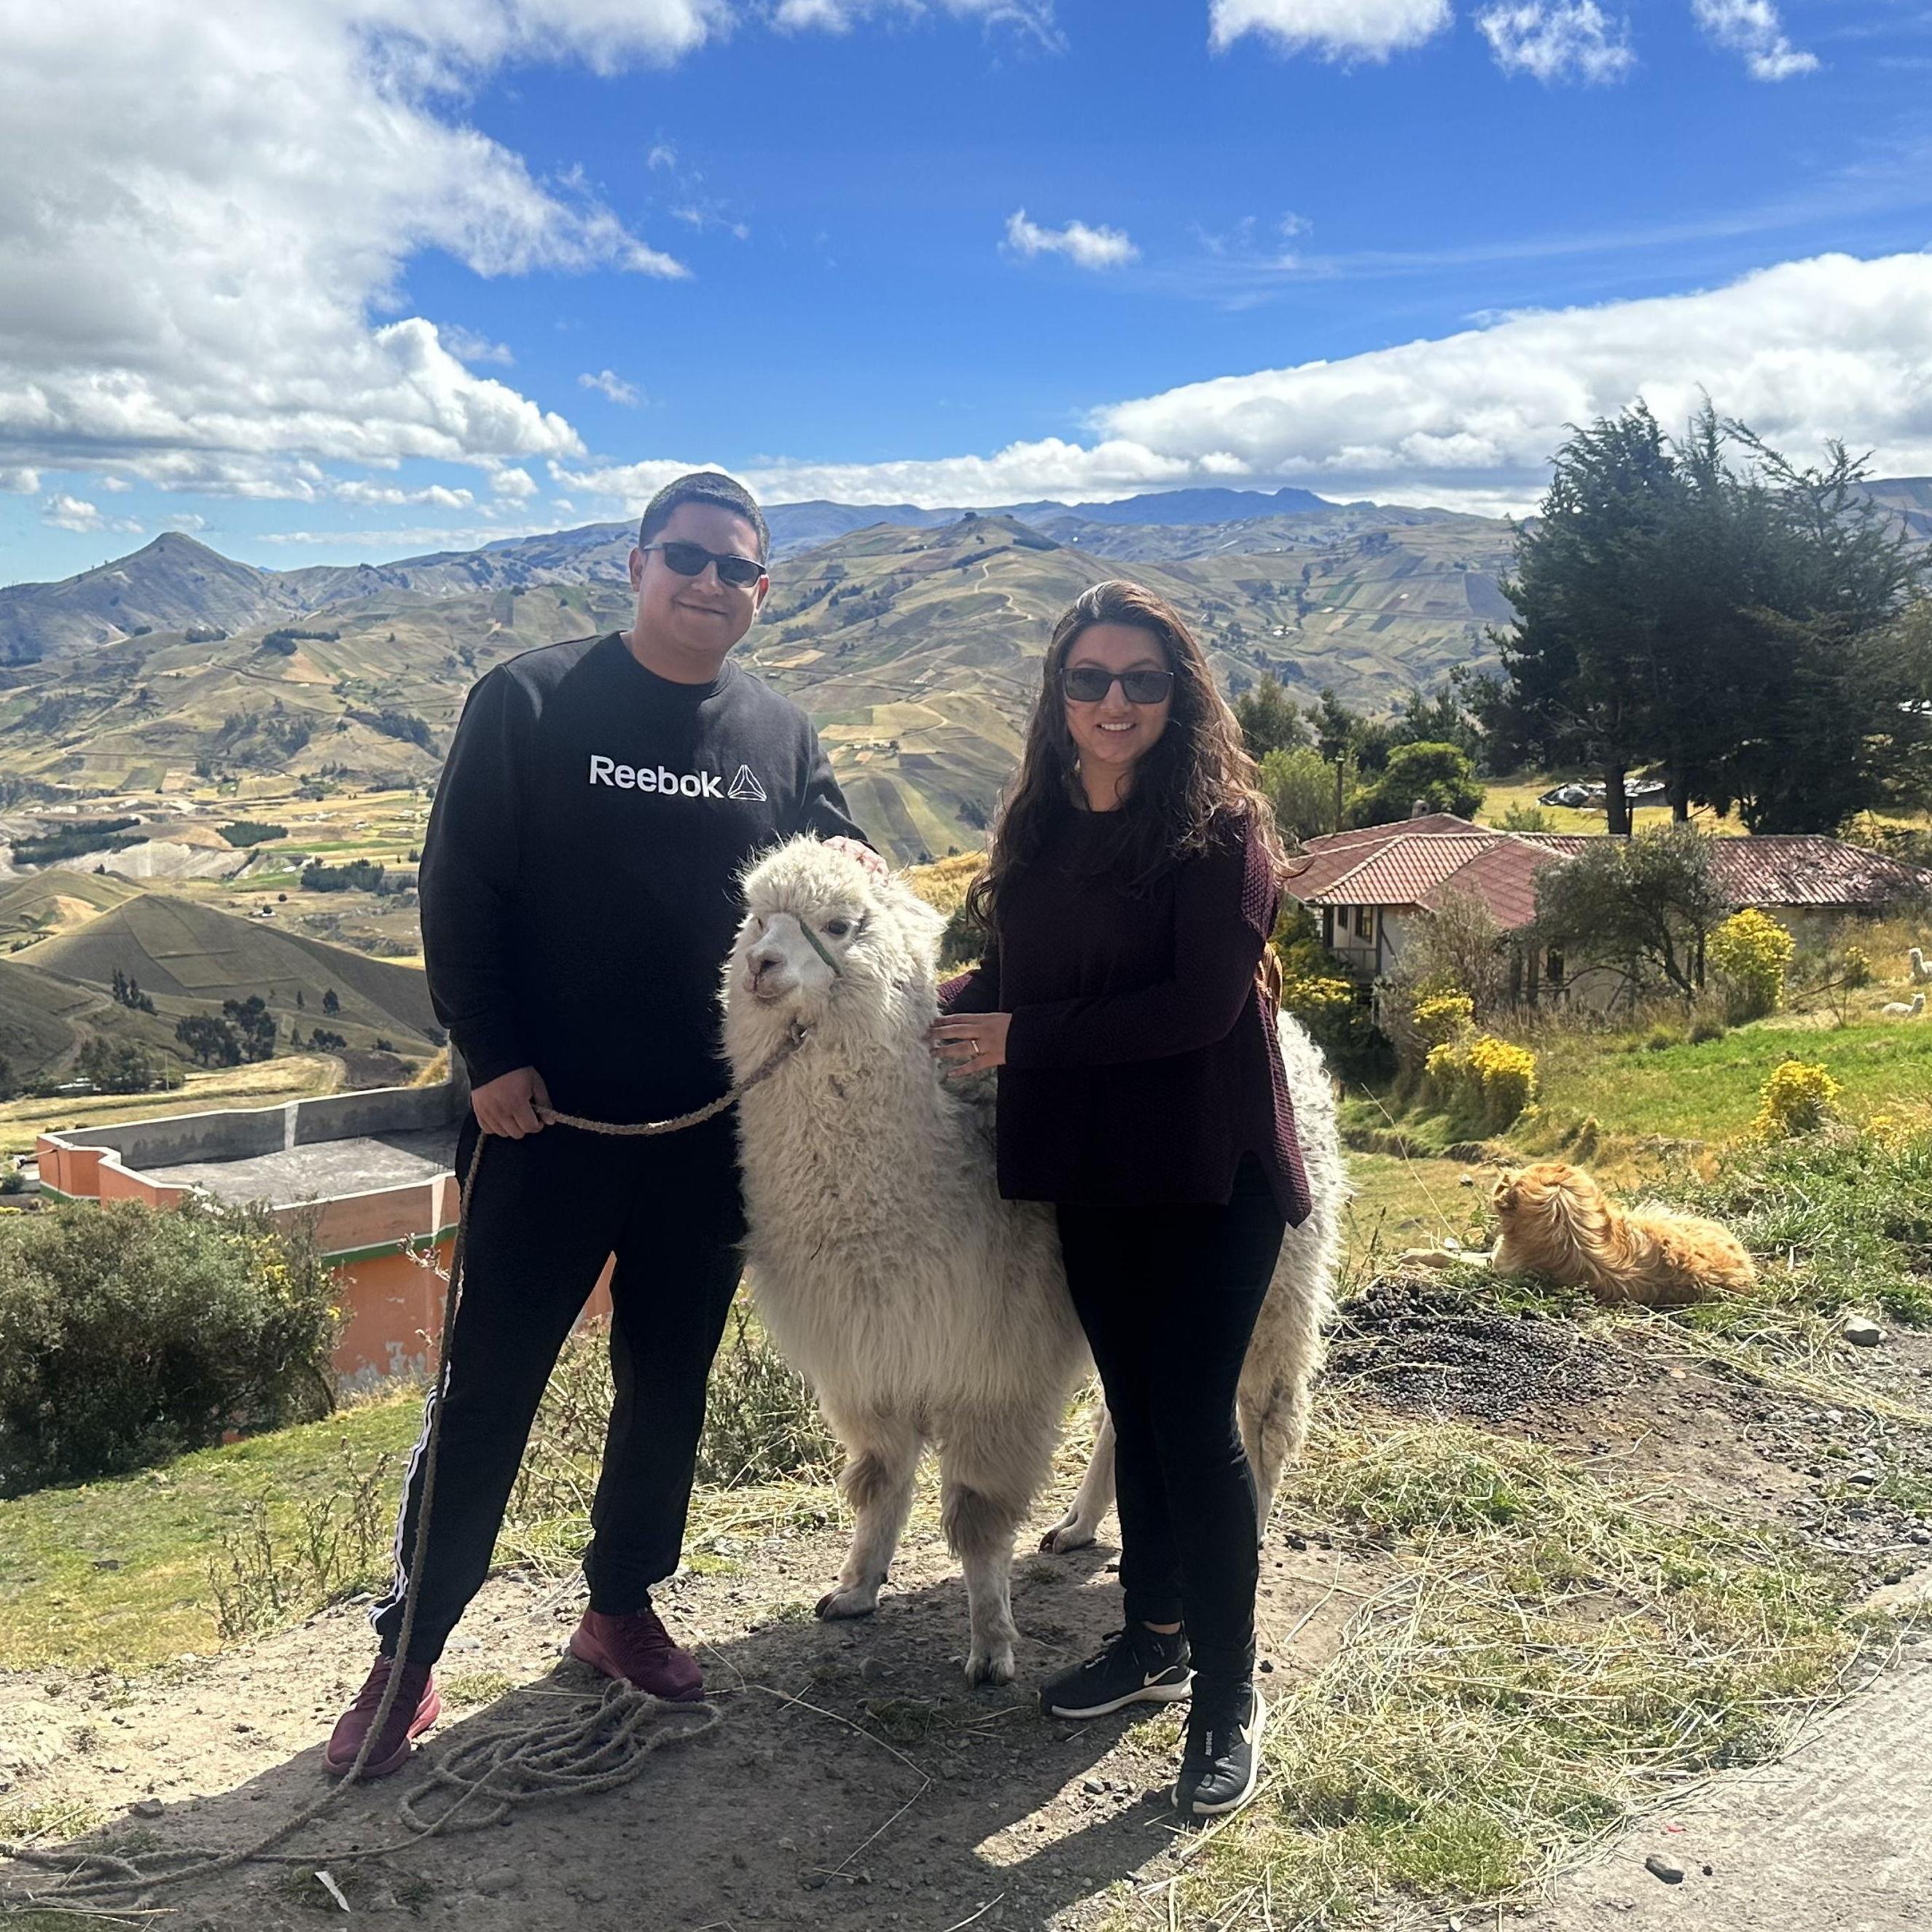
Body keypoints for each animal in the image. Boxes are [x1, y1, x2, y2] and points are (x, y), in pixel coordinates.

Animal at [722, 837, 1344, 1684]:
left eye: (840, 924)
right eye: (755, 917)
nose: (762, 965)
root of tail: (1290, 1030)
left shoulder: (994, 1369)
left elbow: (978, 1517)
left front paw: (990, 1645)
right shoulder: (869, 1359)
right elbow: (878, 1481)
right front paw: (854, 1588)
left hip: (1280, 1279)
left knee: (1268, 1411)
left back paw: (1245, 1528)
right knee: (1128, 1411)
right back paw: (1077, 1524)